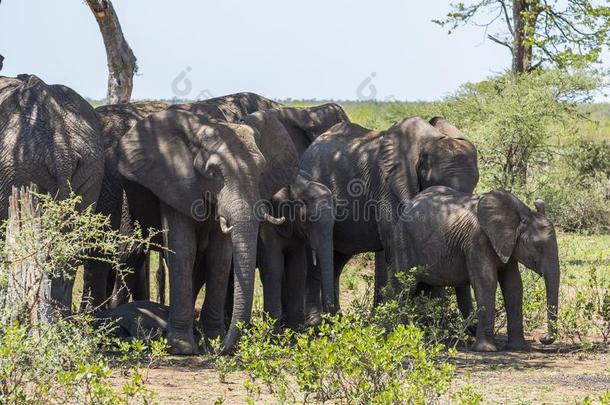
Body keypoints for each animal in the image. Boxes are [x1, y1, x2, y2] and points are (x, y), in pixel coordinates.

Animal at [117, 107, 294, 354]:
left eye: (261, 172)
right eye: (214, 173)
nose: (223, 349)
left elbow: (220, 256)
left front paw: (213, 341)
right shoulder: (176, 184)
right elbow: (183, 249)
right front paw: (181, 348)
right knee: (129, 254)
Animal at [302, 115, 478, 320]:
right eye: (436, 188)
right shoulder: (387, 187)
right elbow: (397, 248)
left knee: (336, 259)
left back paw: (335, 319)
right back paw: (320, 322)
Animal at [396, 186, 560, 350]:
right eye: (538, 247)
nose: (542, 338)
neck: (520, 215)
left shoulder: (507, 244)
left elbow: (513, 285)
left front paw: (518, 348)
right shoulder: (478, 241)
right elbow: (487, 282)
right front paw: (486, 350)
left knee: (423, 288)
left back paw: (423, 335)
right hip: (402, 241)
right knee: (405, 286)